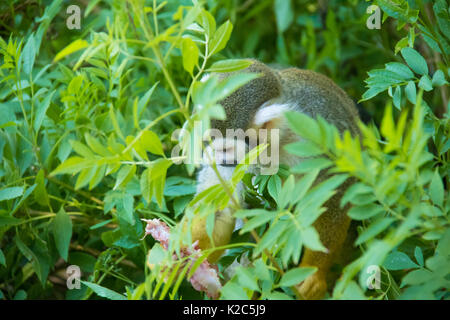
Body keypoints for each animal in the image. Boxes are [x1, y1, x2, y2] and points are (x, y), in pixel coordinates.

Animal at [192, 59, 360, 300]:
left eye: (226, 149)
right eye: (207, 142)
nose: (219, 160)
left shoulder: (312, 136)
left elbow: (335, 193)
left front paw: (314, 273)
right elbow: (220, 205)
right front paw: (184, 258)